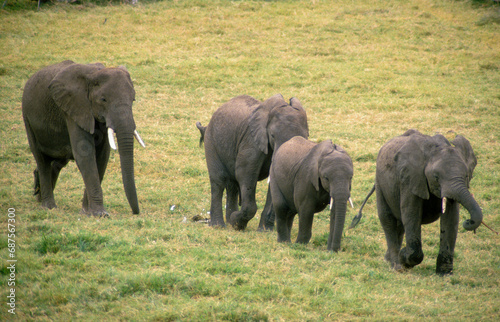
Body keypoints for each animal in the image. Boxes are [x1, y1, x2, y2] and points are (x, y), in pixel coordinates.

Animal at [22, 60, 146, 216]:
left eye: (133, 99)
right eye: (103, 99)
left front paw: (88, 212)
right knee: (42, 159)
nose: (136, 212)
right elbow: (85, 154)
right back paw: (48, 206)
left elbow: (102, 156)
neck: (93, 74)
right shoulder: (74, 107)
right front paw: (100, 214)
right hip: (28, 118)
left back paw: (38, 193)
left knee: (58, 162)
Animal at [196, 94, 308, 230]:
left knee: (232, 185)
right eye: (272, 135)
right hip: (211, 141)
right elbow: (245, 173)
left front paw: (264, 231)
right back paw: (219, 225)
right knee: (219, 181)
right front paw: (237, 224)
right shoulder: (251, 140)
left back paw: (229, 221)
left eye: (304, 137)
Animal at [350, 130, 482, 276]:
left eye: (466, 176)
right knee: (388, 219)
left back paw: (389, 259)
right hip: (380, 182)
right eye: (436, 177)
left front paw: (444, 274)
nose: (469, 221)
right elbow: (411, 214)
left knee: (400, 223)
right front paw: (404, 257)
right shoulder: (410, 178)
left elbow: (451, 219)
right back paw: (397, 265)